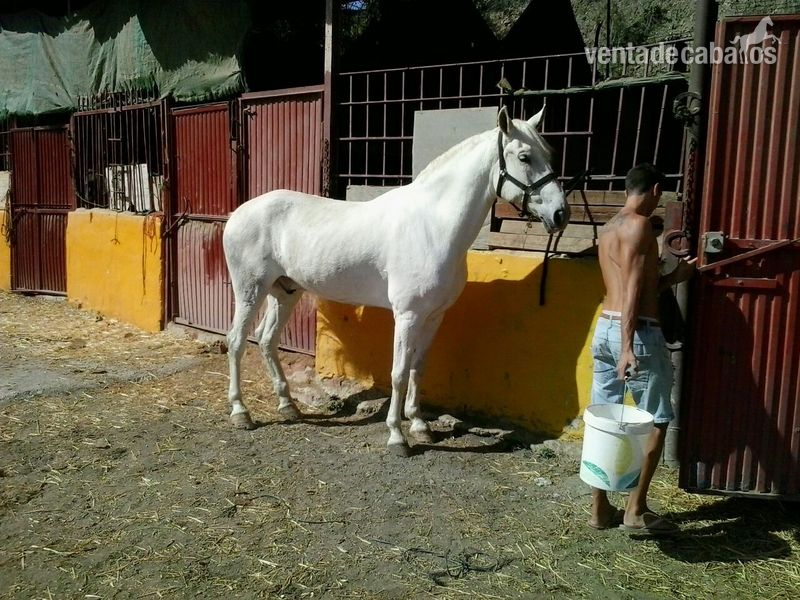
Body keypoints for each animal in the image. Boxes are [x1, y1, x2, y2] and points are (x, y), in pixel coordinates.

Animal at [222, 105, 569, 455]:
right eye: (524, 157)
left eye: (550, 153)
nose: (561, 214)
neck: (432, 225)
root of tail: (238, 214)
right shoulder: (407, 315)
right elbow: (399, 373)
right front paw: (398, 436)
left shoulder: (434, 316)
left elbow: (418, 368)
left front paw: (420, 426)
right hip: (250, 290)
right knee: (237, 340)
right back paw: (241, 413)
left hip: (285, 292)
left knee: (267, 339)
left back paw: (288, 406)